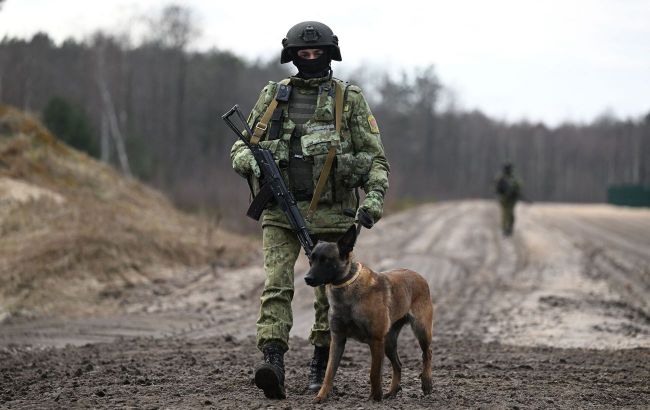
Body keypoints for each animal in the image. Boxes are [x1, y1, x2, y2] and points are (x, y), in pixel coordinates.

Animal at [302, 223, 432, 402]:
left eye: (325, 260)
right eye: (311, 259)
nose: (307, 279)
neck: (346, 288)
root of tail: (419, 275)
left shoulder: (375, 340)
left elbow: (374, 373)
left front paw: (375, 397)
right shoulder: (338, 339)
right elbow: (329, 372)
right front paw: (321, 396)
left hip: (420, 330)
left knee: (427, 354)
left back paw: (426, 382)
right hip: (389, 342)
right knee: (398, 364)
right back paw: (392, 391)